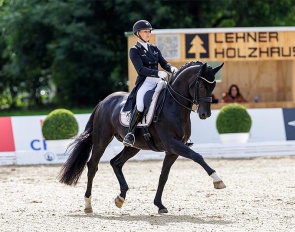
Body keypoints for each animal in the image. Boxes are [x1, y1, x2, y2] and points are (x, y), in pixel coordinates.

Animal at [59, 60, 227, 214]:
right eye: (201, 86)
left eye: (213, 86)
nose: (205, 114)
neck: (173, 106)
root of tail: (104, 101)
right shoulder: (172, 144)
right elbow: (197, 156)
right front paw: (217, 179)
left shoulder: (172, 150)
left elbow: (163, 176)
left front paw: (159, 205)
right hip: (102, 140)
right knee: (93, 166)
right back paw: (88, 204)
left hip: (134, 146)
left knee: (116, 163)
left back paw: (121, 197)